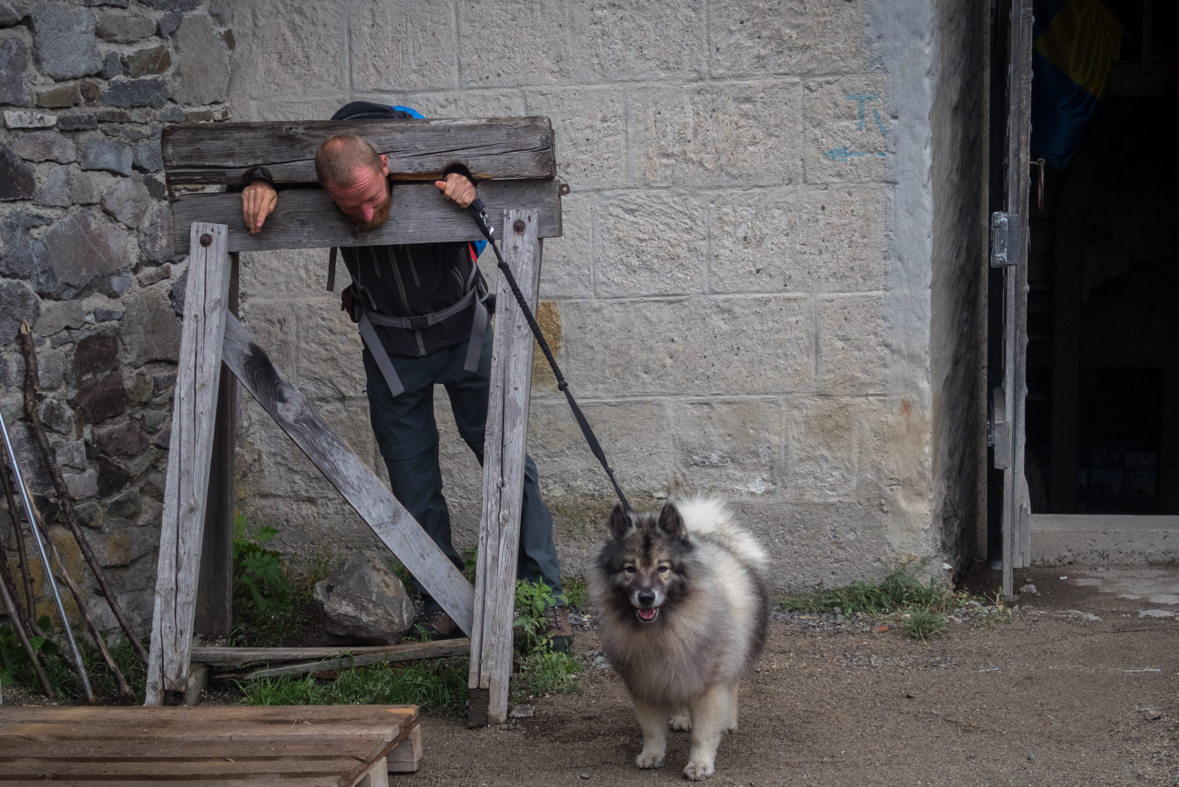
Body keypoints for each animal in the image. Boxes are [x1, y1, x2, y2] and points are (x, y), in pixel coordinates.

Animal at [589, 494, 773, 777]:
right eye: (630, 569)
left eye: (662, 568)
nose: (646, 597)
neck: (665, 627)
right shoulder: (646, 684)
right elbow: (652, 730)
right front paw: (652, 754)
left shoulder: (709, 685)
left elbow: (703, 732)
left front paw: (700, 764)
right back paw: (684, 718)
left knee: (732, 686)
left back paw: (728, 721)